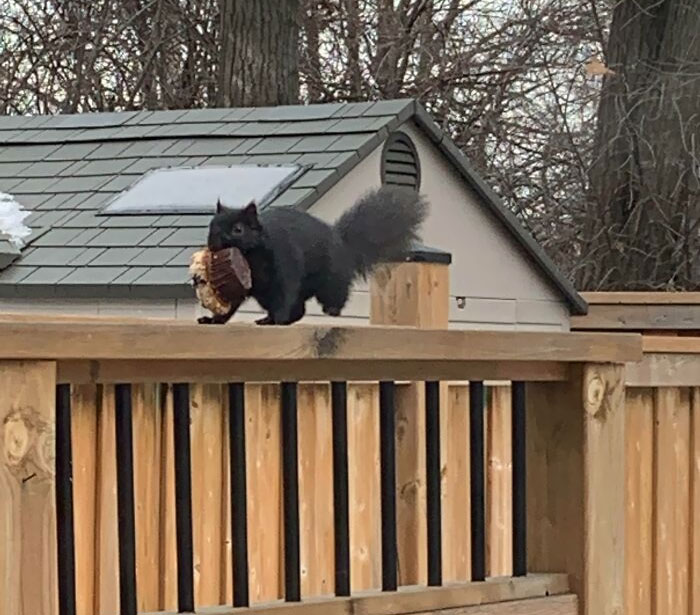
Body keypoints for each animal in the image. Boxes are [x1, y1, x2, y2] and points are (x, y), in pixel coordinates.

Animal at [197, 184, 426, 324]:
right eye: (212, 226)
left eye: (238, 229)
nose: (215, 241)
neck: (251, 258)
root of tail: (340, 242)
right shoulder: (238, 283)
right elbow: (231, 304)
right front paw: (213, 320)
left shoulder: (285, 263)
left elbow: (285, 293)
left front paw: (277, 318)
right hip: (266, 296)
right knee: (299, 311)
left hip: (329, 279)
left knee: (335, 291)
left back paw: (330, 310)